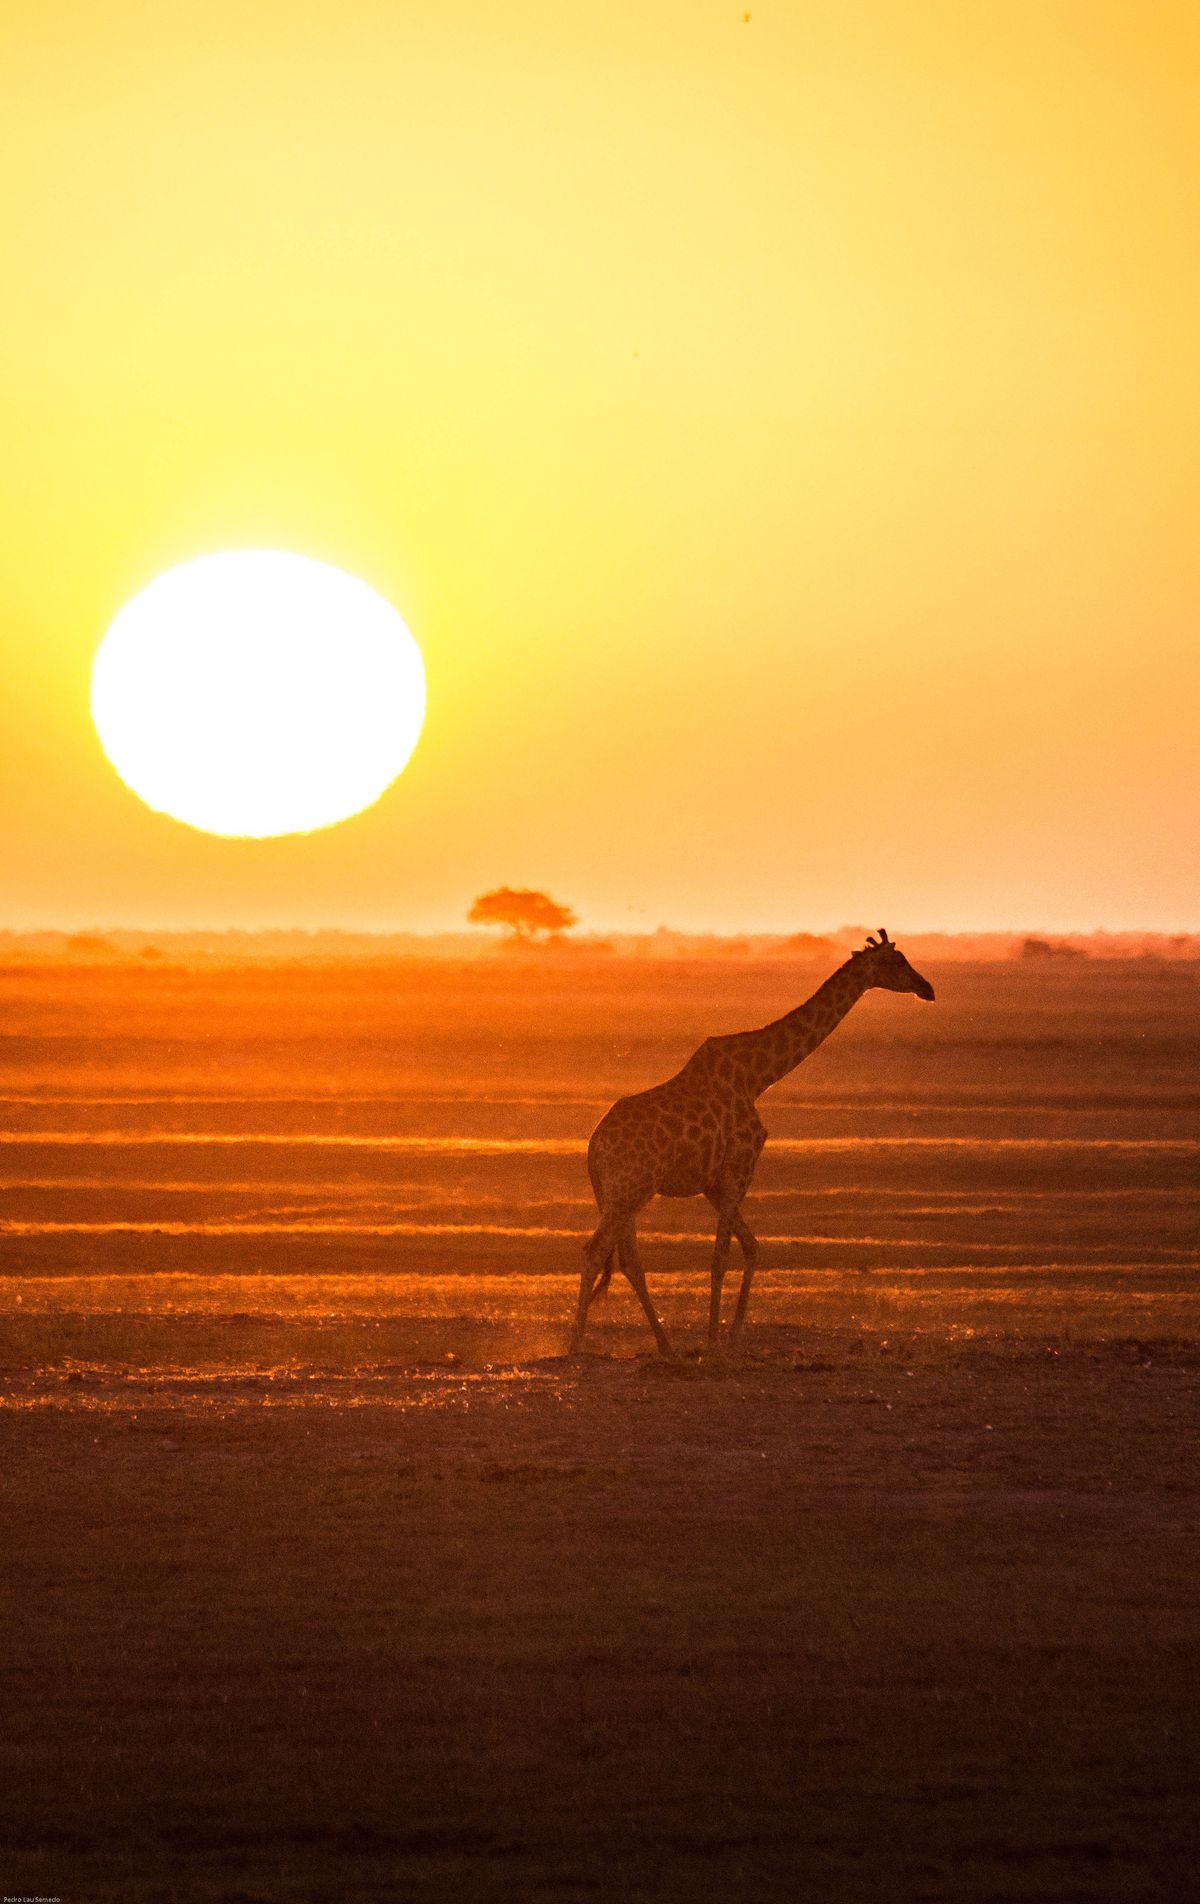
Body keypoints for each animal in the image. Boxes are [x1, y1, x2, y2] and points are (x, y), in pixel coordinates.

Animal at [575, 925, 940, 1355]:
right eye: (896, 961)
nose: (928, 989)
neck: (757, 1077)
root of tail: (594, 1148)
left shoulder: (714, 1182)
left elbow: (752, 1246)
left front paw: (732, 1334)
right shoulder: (740, 1167)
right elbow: (721, 1256)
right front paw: (714, 1339)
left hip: (625, 1195)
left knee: (629, 1260)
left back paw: (665, 1346)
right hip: (628, 1189)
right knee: (594, 1252)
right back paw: (574, 1347)